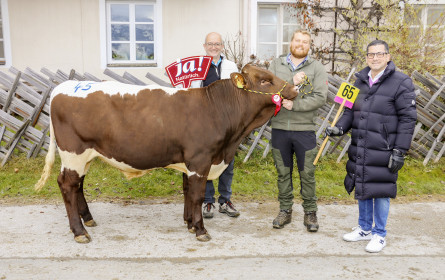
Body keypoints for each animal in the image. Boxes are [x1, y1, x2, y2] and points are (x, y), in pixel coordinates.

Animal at [35, 63, 298, 243]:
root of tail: (62, 87)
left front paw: (189, 223)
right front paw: (200, 230)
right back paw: (79, 231)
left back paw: (87, 219)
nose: (295, 88)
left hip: (86, 155)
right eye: (264, 80)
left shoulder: (189, 162)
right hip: (74, 153)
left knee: (78, 185)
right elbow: (197, 196)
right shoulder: (200, 159)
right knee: (67, 185)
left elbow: (187, 192)